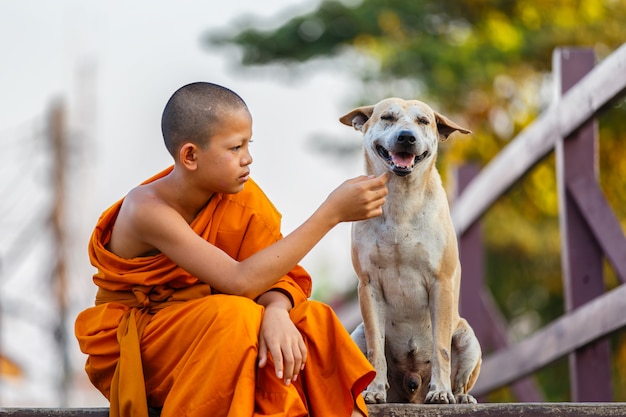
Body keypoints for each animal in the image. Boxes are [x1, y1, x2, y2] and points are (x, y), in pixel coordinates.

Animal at [338, 97, 480, 404]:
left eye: (423, 121)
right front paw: (374, 391)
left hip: (468, 337)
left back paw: (460, 396)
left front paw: (441, 392)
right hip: (356, 334)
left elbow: (441, 347)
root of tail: (412, 387)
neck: (401, 200)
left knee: (461, 376)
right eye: (387, 117)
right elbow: (376, 349)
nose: (406, 137)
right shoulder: (368, 285)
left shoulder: (441, 282)